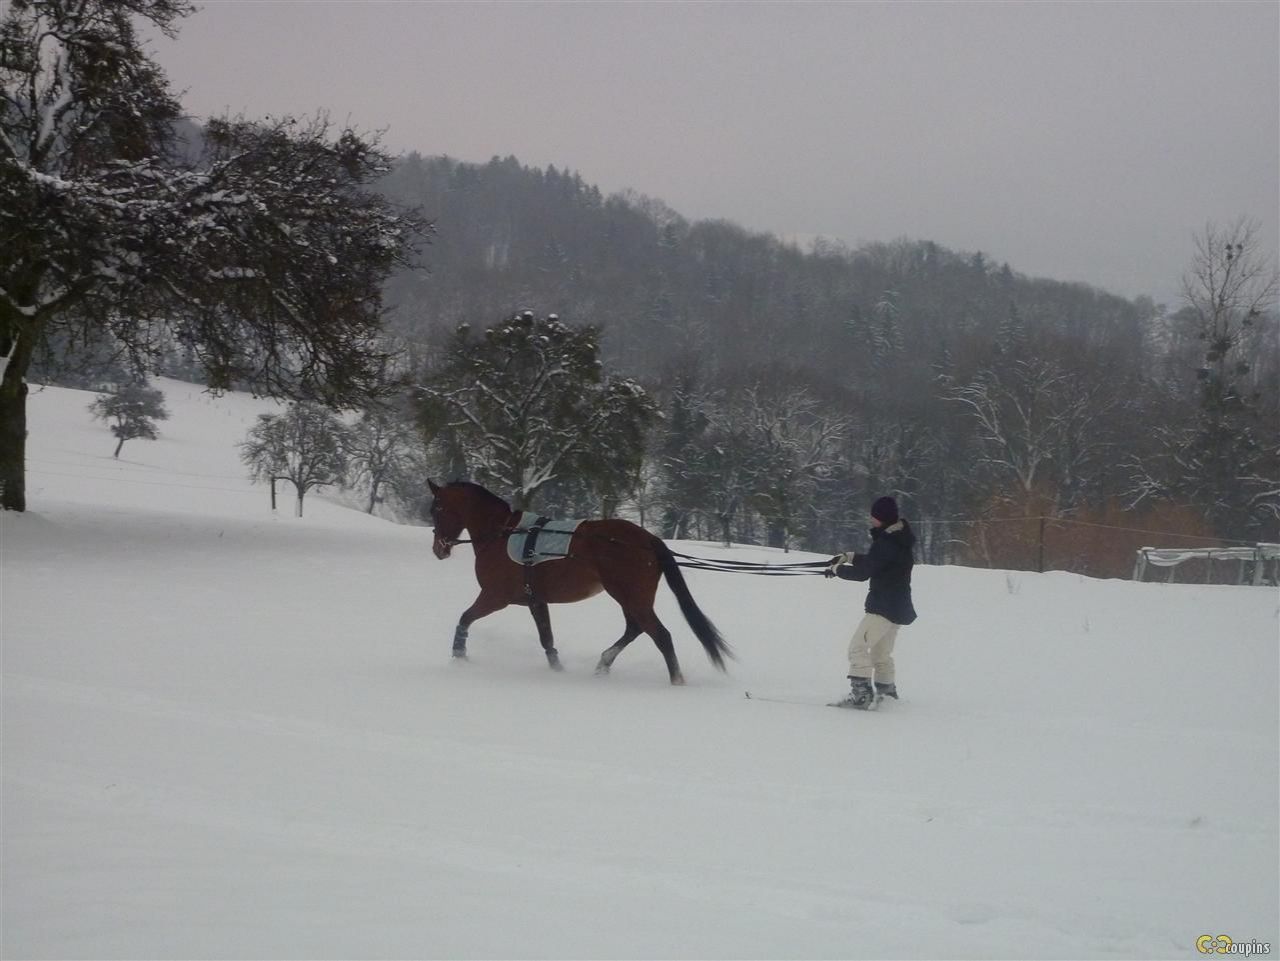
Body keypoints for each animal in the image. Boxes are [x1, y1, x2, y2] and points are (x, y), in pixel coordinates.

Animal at [427, 480, 731, 684]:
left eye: (437, 509)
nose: (439, 549)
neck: (501, 533)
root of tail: (648, 540)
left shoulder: (494, 597)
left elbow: (465, 618)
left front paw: (459, 656)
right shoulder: (536, 601)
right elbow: (547, 639)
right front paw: (558, 671)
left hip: (631, 597)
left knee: (660, 635)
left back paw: (676, 682)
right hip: (630, 598)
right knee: (635, 629)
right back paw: (603, 664)